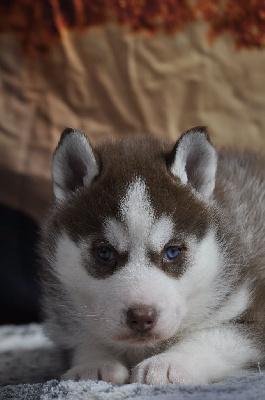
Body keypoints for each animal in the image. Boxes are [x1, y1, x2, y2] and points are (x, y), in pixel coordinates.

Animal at [39, 127, 264, 384]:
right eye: (104, 252)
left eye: (172, 251)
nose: (141, 316)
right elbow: (82, 343)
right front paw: (94, 363)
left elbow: (215, 337)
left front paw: (169, 363)